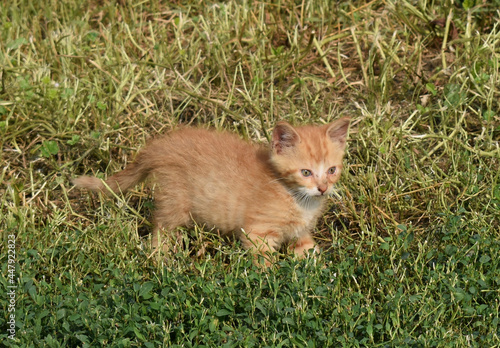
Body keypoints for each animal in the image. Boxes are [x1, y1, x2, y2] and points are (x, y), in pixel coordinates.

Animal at [72, 118, 350, 266]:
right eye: (306, 172)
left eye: (332, 170)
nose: (323, 188)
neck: (298, 198)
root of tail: (160, 146)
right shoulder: (258, 233)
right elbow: (265, 262)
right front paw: (273, 282)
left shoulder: (300, 234)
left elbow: (309, 252)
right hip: (175, 201)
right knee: (161, 228)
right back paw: (161, 259)